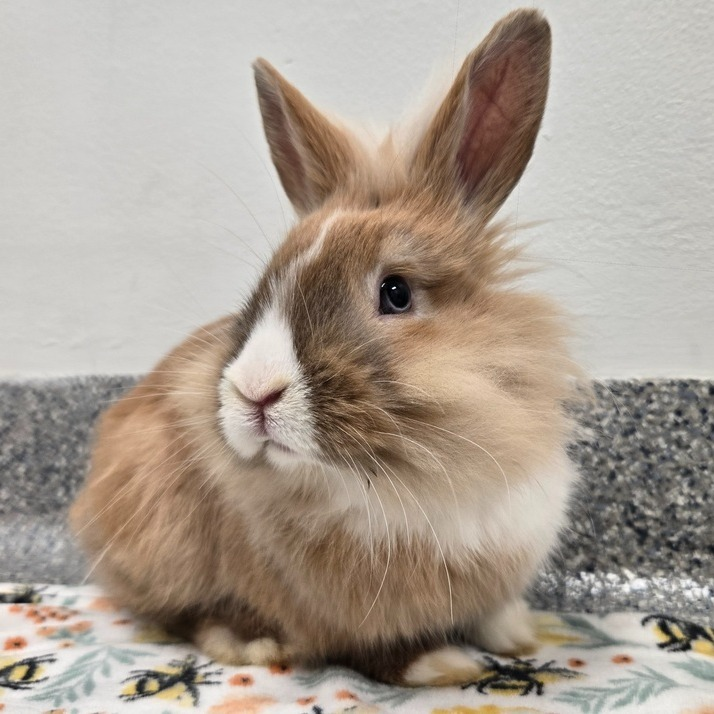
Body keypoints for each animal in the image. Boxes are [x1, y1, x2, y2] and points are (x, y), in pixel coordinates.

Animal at [70, 8, 581, 687]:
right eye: (263, 287)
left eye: (396, 292)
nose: (255, 392)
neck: (410, 477)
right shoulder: (346, 608)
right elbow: (372, 645)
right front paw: (441, 665)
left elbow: (494, 609)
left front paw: (520, 635)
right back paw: (251, 642)